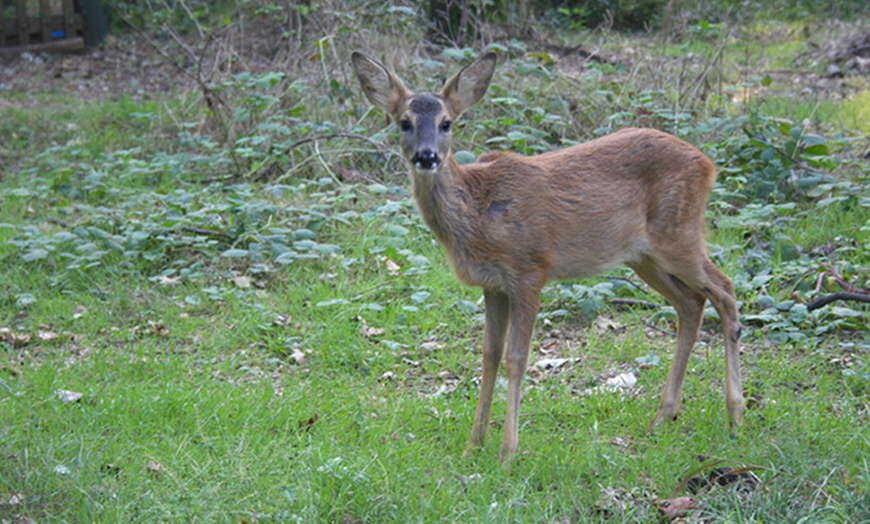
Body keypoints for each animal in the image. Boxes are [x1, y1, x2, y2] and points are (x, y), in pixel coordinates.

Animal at [350, 51, 744, 462]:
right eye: (404, 122)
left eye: (446, 123)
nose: (426, 157)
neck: (479, 209)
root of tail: (708, 164)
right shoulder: (493, 284)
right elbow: (489, 354)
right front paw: (474, 444)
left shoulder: (530, 269)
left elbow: (517, 357)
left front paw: (508, 452)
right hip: (643, 256)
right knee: (691, 302)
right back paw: (664, 416)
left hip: (678, 234)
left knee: (725, 289)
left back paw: (735, 416)